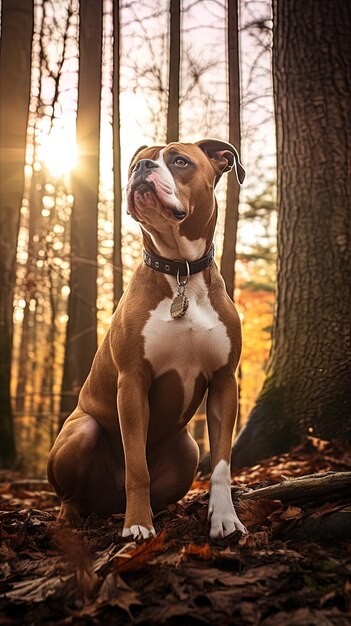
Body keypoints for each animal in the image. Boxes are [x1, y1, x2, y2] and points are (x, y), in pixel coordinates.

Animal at [47, 139, 248, 540]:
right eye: (134, 165)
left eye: (180, 161)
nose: (142, 169)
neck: (181, 272)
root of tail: (106, 505)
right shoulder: (133, 382)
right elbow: (137, 466)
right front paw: (138, 525)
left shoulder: (223, 383)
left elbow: (221, 464)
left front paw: (224, 518)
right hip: (81, 431)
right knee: (72, 494)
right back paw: (73, 518)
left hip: (187, 451)